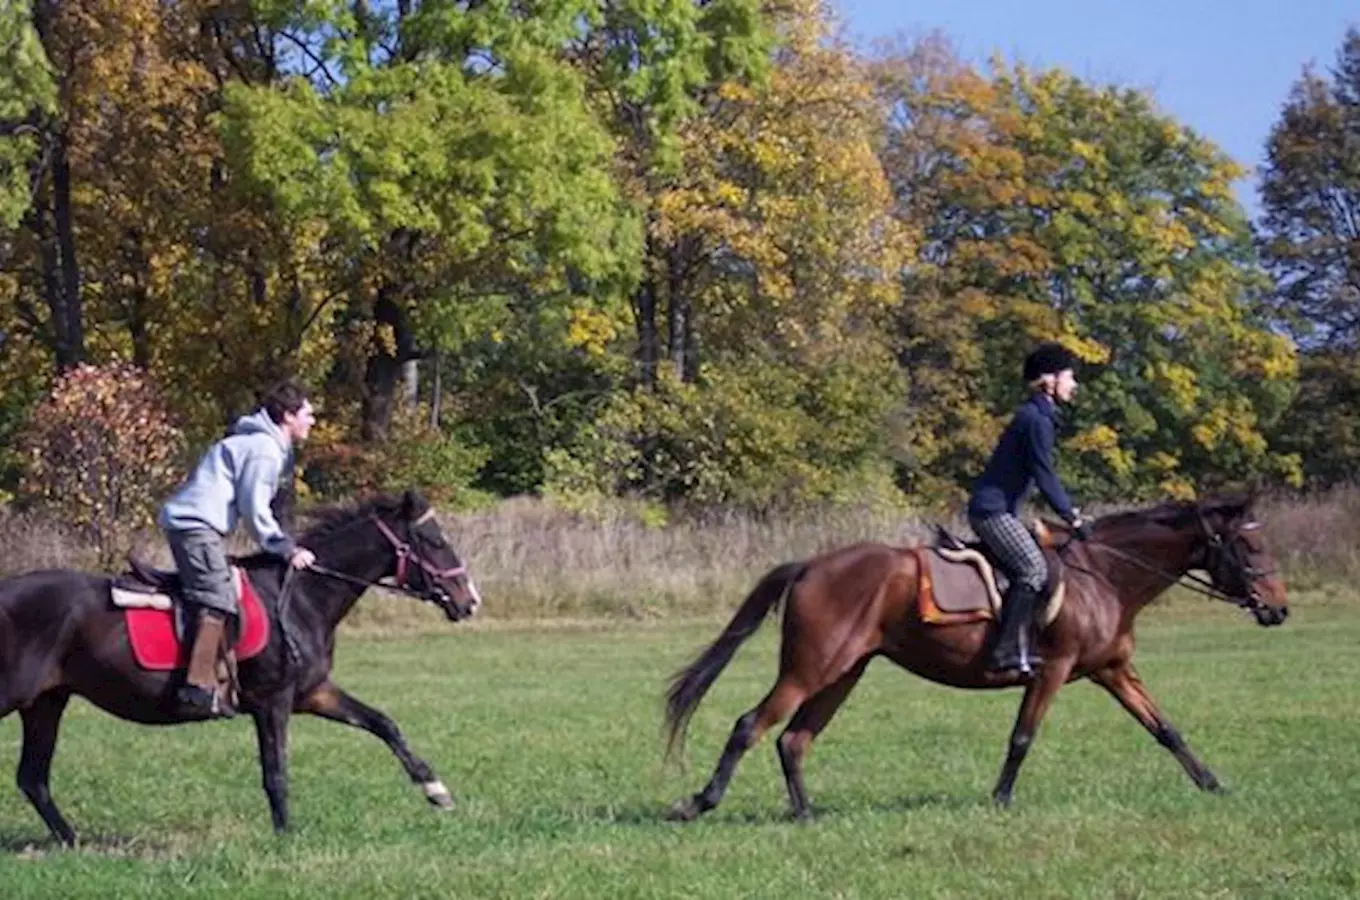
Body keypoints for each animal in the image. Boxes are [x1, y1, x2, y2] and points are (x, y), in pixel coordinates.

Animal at [0, 486, 484, 848]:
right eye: (435, 541)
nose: (470, 601)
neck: (303, 597)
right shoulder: (273, 702)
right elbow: (276, 771)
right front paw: (286, 835)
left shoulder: (314, 693)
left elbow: (384, 724)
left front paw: (436, 790)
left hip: (46, 702)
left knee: (33, 779)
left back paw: (72, 841)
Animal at [663, 500, 1289, 826]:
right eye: (1250, 548)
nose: (1279, 609)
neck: (1104, 575)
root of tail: (812, 565)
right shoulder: (1053, 670)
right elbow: (1022, 737)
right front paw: (1001, 800)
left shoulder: (1113, 671)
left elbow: (1165, 729)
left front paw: (1213, 784)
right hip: (809, 670)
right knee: (751, 724)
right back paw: (700, 802)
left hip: (843, 672)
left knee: (794, 739)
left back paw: (806, 814)